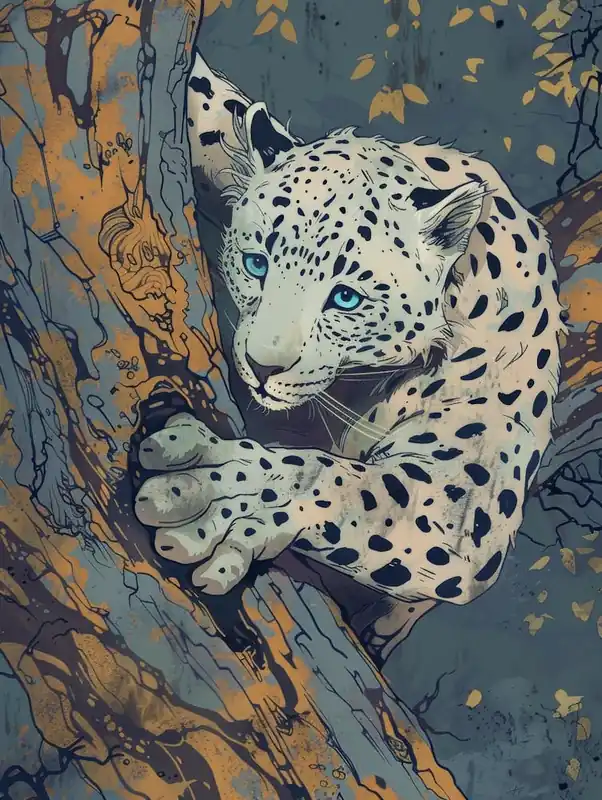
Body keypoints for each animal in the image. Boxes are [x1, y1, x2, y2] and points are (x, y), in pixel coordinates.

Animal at [133, 48, 566, 657]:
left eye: (345, 297)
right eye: (257, 262)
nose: (262, 368)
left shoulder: (464, 492)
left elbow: (341, 486)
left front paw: (204, 493)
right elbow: (215, 105)